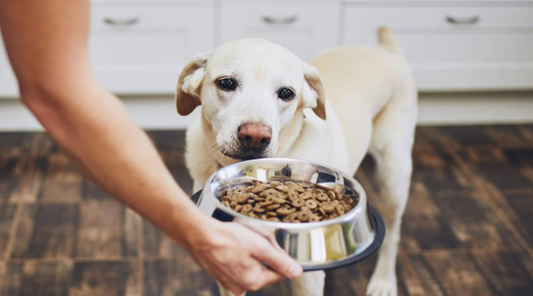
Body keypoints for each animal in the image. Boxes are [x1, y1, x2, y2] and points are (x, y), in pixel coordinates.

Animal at [177, 27, 418, 296]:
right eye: (226, 82)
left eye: (286, 93)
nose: (255, 137)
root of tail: (386, 49)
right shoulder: (229, 266)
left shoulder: (307, 278)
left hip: (394, 175)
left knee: (393, 234)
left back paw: (383, 281)